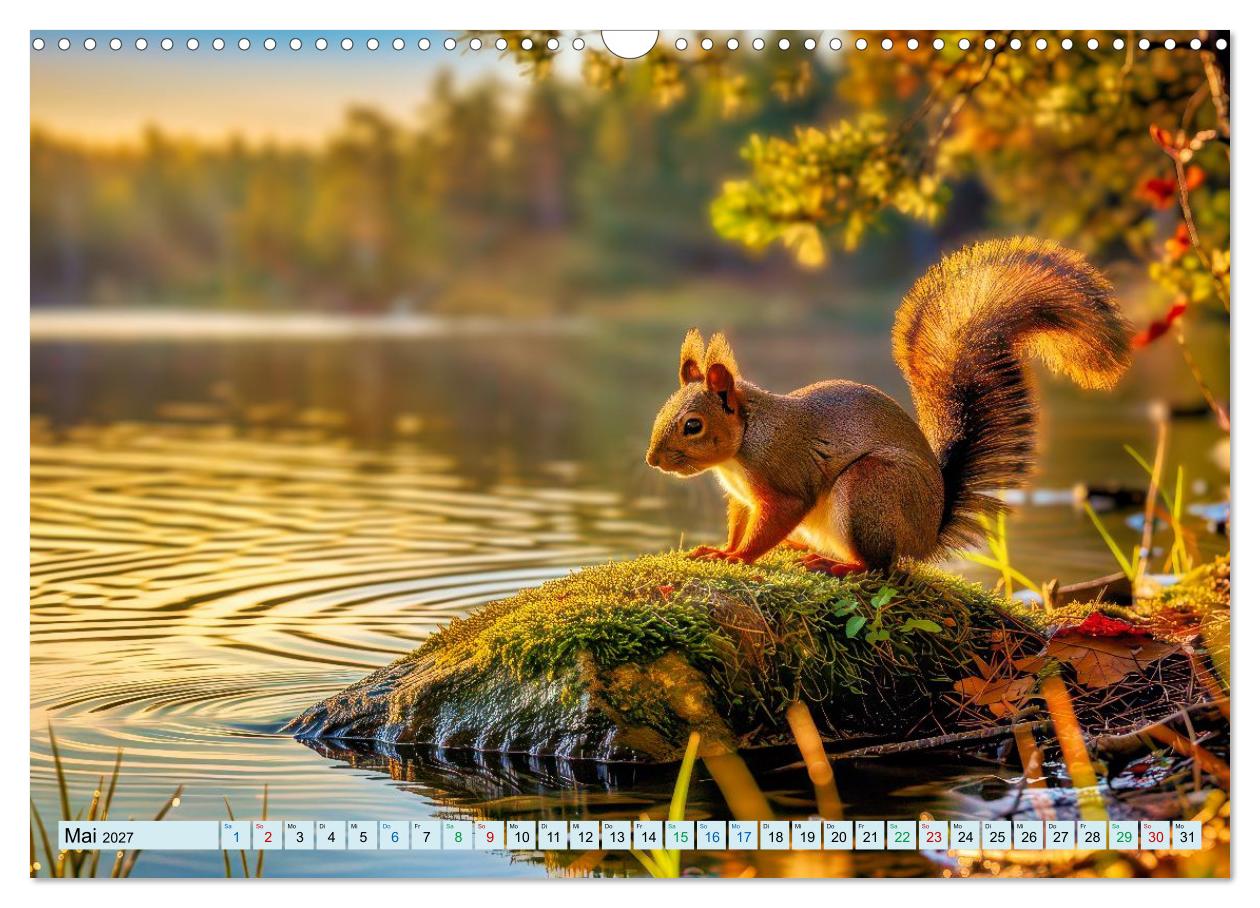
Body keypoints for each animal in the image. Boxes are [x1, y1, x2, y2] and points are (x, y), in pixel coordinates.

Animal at [645, 237, 1133, 574]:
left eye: (692, 425)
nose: (652, 460)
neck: (747, 437)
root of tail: (926, 536)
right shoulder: (743, 498)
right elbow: (740, 523)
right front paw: (720, 549)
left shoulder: (784, 478)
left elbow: (770, 524)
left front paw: (739, 558)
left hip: (871, 490)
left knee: (879, 565)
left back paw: (838, 564)